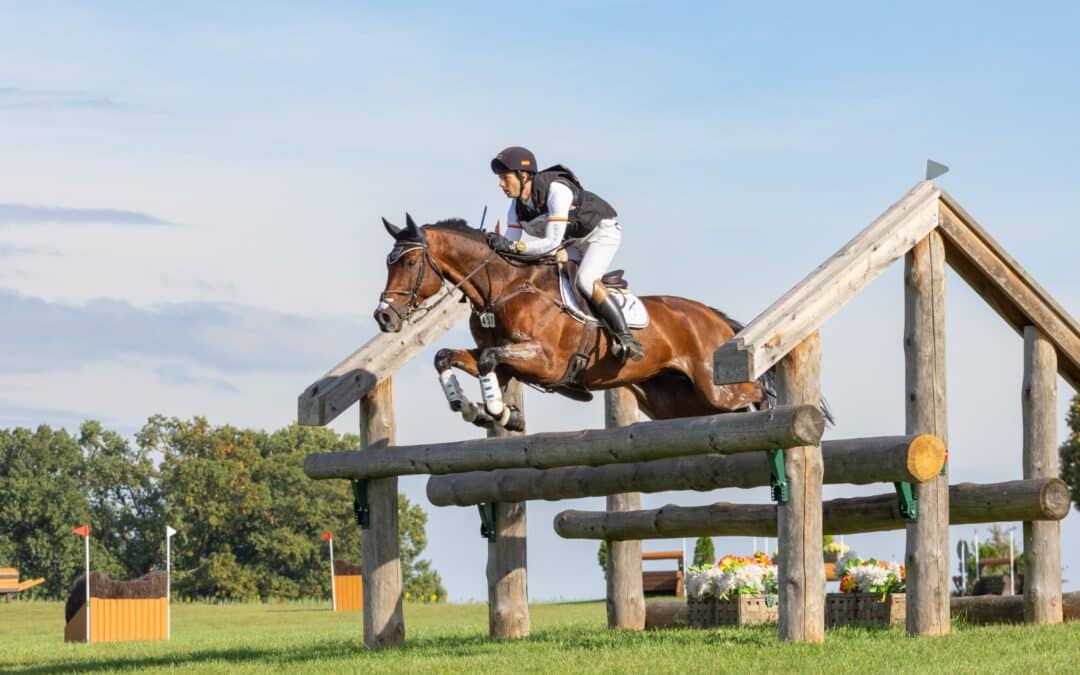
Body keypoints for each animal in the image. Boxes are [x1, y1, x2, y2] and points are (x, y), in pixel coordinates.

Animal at [375, 212, 773, 429]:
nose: (384, 316)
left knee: (752, 392)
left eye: (410, 262)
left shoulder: (546, 361)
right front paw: (475, 407)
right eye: (388, 262)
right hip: (674, 403)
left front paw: (497, 411)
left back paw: (773, 407)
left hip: (715, 387)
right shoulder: (505, 357)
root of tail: (712, 317)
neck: (504, 288)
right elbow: (448, 357)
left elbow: (489, 360)